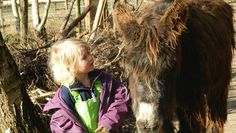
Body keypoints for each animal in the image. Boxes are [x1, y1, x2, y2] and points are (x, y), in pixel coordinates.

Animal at [113, 0, 235, 132]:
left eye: (170, 68)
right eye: (129, 68)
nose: (148, 126)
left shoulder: (191, 105)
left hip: (217, 89)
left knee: (214, 120)